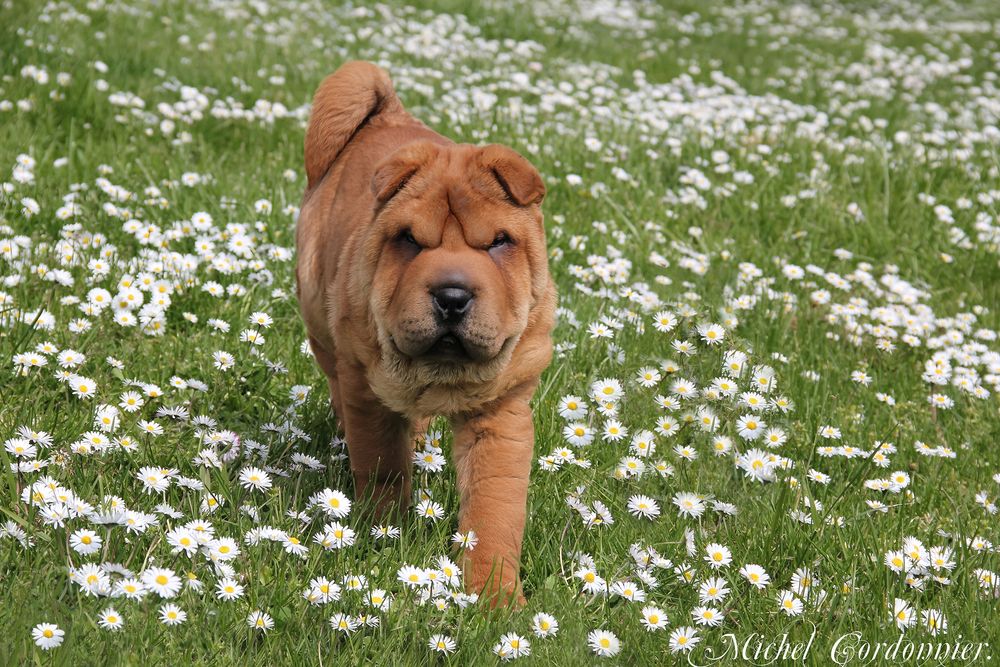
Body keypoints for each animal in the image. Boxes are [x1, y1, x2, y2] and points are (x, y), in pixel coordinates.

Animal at [292, 61, 560, 604]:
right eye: (410, 241)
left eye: (498, 242)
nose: (452, 296)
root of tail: (386, 113)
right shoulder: (366, 388)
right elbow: (383, 466)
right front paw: (384, 534)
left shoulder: (502, 411)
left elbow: (494, 509)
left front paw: (496, 599)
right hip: (322, 325)